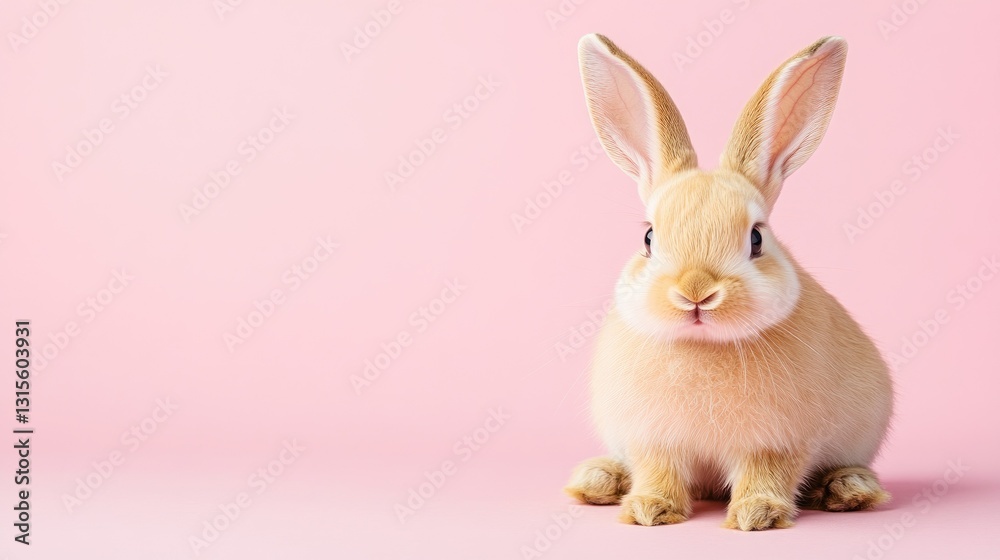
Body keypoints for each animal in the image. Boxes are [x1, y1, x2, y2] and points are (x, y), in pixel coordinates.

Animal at [564, 34, 893, 531]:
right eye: (648, 238)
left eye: (756, 238)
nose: (696, 292)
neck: (703, 347)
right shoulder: (653, 440)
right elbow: (658, 471)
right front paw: (649, 510)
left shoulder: (776, 442)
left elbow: (766, 475)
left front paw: (757, 515)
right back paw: (598, 480)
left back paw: (848, 489)